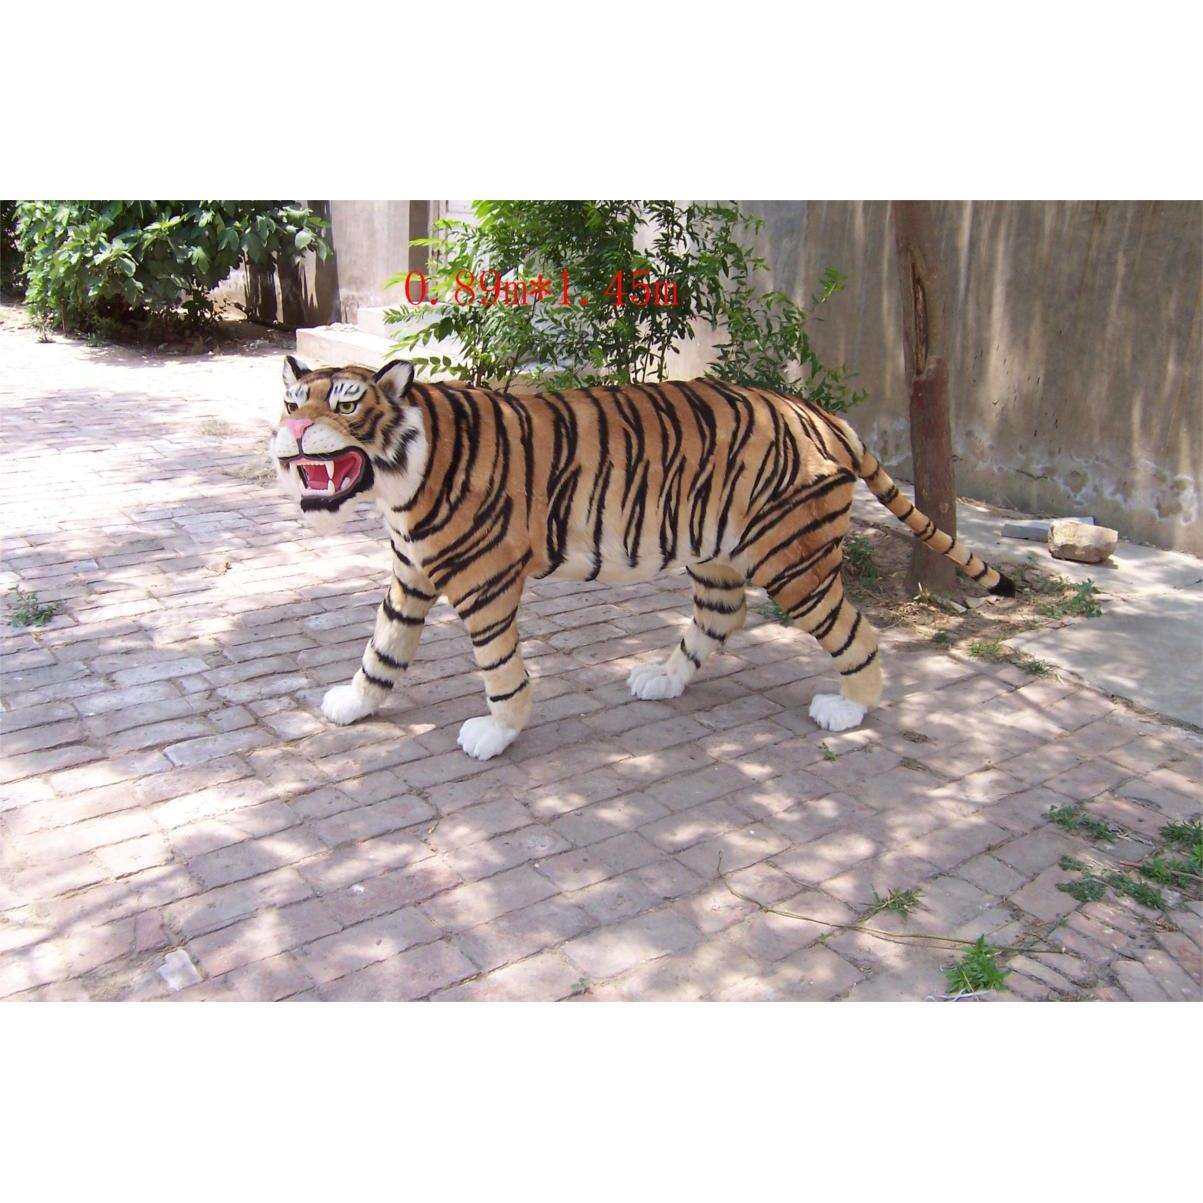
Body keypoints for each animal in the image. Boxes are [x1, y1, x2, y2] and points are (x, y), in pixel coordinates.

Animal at [270, 357, 1015, 760]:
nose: (295, 428)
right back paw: (662, 678)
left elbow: (498, 667)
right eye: (291, 400)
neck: (396, 481)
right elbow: (383, 647)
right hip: (717, 552)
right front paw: (355, 703)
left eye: (347, 404)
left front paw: (499, 731)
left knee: (853, 631)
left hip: (794, 562)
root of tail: (819, 412)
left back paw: (848, 710)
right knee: (722, 617)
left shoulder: (485, 583)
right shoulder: (411, 573)